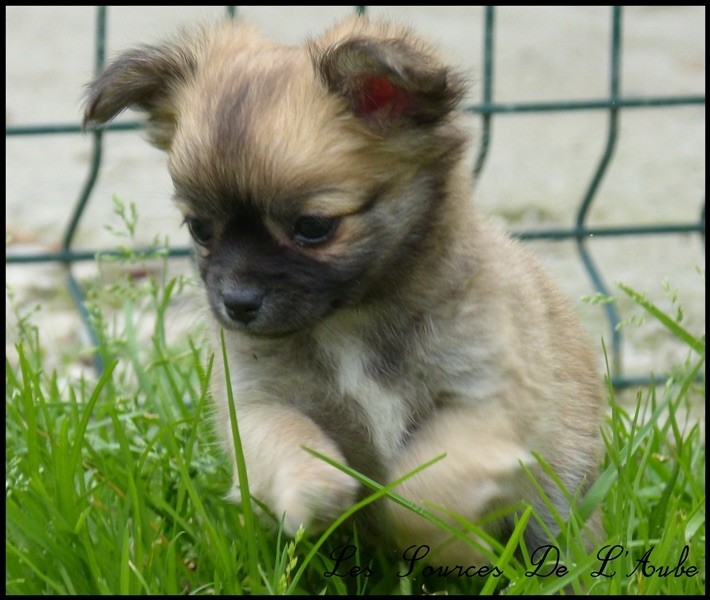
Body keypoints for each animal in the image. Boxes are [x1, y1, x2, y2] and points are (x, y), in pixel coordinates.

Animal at [85, 16, 608, 564]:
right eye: (200, 230)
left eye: (313, 227)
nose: (236, 303)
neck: (348, 322)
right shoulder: (257, 404)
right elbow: (286, 440)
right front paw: (314, 491)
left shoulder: (485, 399)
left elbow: (420, 493)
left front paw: (453, 546)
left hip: (561, 499)